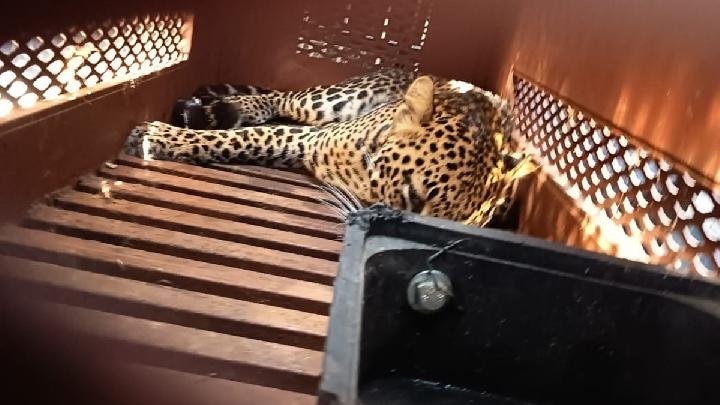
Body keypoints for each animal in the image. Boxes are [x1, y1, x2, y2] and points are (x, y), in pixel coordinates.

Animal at [124, 67, 535, 226]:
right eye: (413, 198)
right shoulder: (310, 138)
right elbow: (249, 138)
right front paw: (160, 137)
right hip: (326, 101)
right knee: (278, 98)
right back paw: (223, 108)